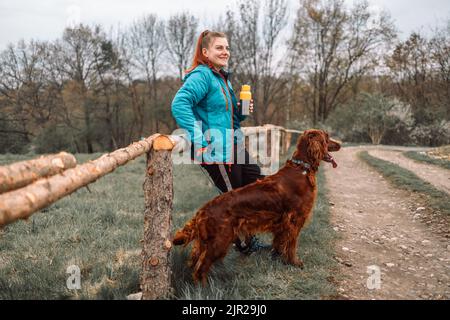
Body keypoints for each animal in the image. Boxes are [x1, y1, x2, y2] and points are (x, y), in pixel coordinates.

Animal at [173, 129, 342, 284]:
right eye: (327, 138)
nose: (340, 144)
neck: (302, 169)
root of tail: (203, 210)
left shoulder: (283, 222)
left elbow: (279, 242)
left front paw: (277, 257)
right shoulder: (295, 220)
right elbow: (292, 245)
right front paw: (294, 262)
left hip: (205, 242)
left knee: (194, 262)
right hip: (220, 241)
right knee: (200, 268)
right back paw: (204, 287)